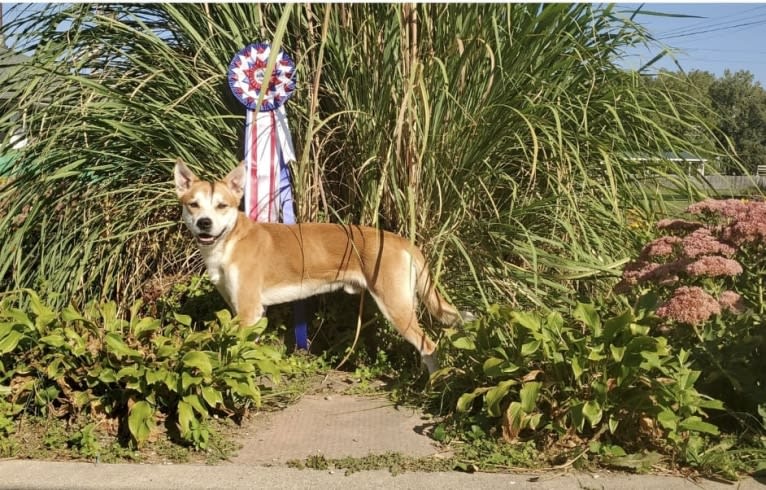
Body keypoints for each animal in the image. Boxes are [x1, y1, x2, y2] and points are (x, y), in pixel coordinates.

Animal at [173, 159, 462, 374]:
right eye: (193, 204)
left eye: (222, 205)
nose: (205, 223)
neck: (230, 240)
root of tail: (399, 240)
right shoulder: (245, 311)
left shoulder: (248, 311)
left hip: (396, 307)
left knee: (429, 346)